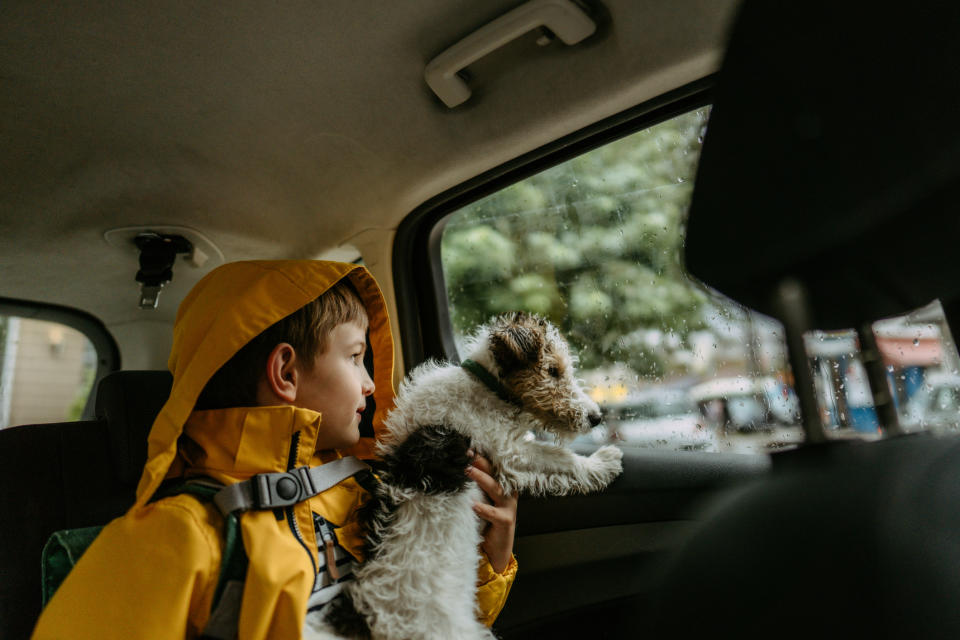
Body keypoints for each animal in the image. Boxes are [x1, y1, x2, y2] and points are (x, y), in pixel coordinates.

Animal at [306, 312, 624, 636]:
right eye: (552, 370)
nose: (596, 417)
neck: (486, 386)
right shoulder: (509, 454)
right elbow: (560, 458)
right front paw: (602, 463)